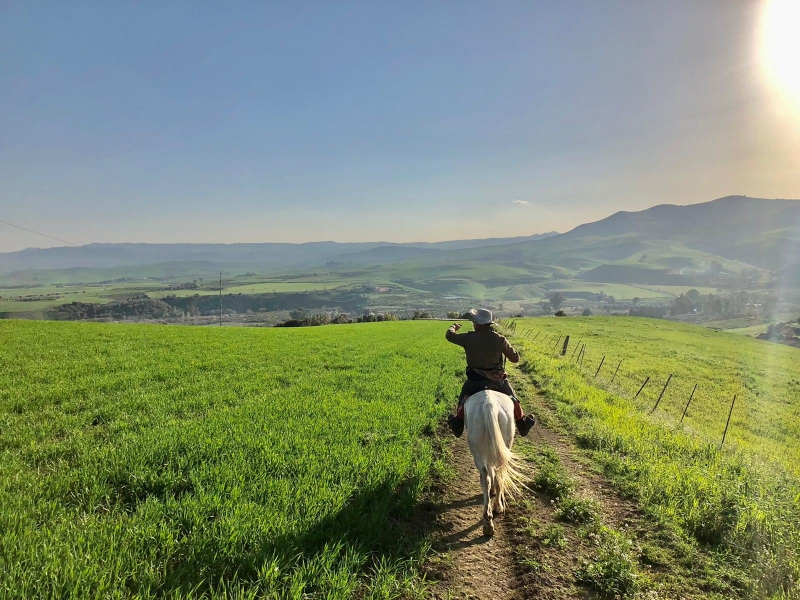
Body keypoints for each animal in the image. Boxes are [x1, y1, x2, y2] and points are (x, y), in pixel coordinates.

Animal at [462, 390, 524, 540]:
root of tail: (488, 404)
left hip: (480, 449)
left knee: (486, 477)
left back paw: (489, 521)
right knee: (497, 475)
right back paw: (496, 509)